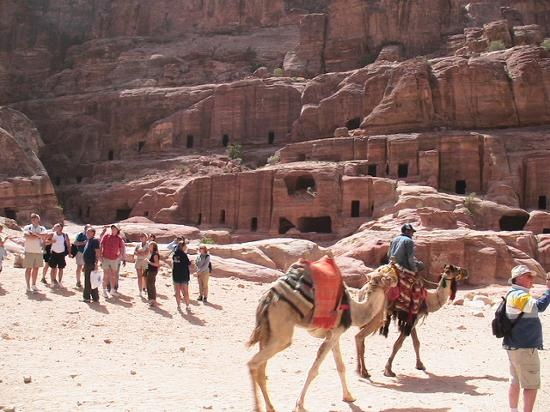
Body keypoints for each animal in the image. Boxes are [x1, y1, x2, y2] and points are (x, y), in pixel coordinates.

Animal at [248, 260, 398, 412]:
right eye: (387, 274)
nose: (395, 277)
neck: (353, 311)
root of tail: (268, 298)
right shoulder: (334, 335)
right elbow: (314, 370)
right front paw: (299, 405)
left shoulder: (335, 334)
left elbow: (340, 366)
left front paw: (349, 396)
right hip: (281, 332)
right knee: (253, 363)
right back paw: (258, 407)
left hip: (267, 333)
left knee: (261, 368)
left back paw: (270, 407)